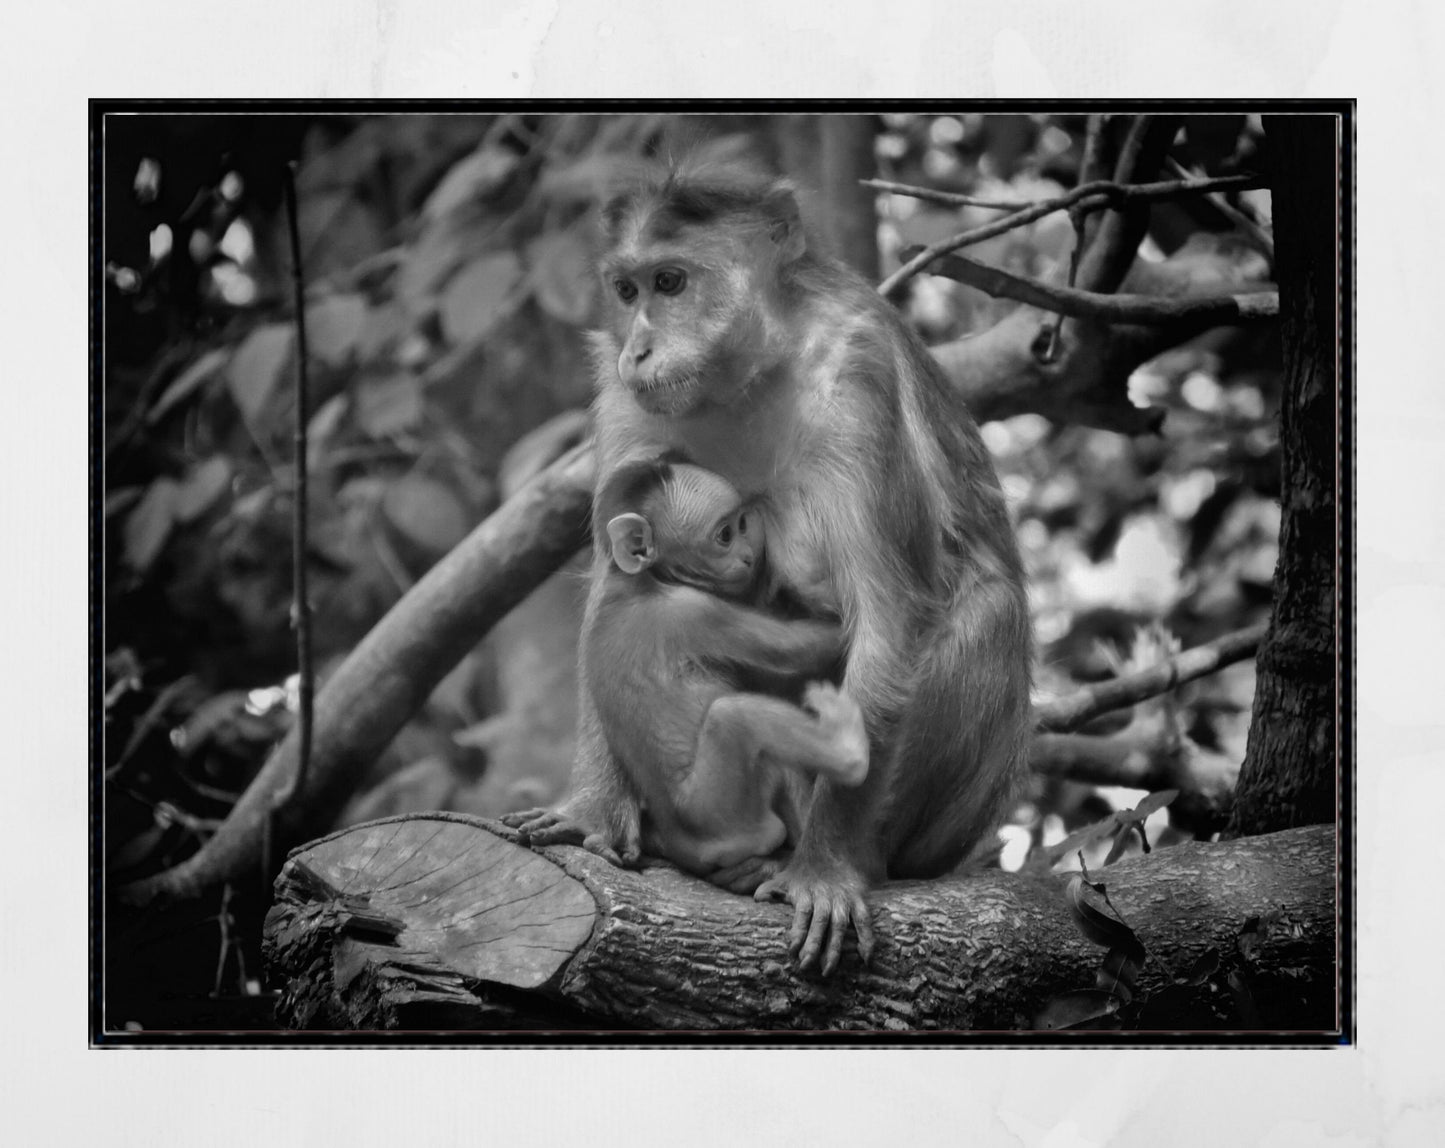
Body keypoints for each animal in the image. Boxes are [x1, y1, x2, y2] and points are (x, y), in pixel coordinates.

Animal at [587, 455, 869, 878]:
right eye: (724, 535)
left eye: (742, 525)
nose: (750, 556)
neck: (638, 580)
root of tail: (689, 849)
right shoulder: (696, 612)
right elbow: (803, 648)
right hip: (722, 814)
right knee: (735, 716)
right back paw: (849, 753)